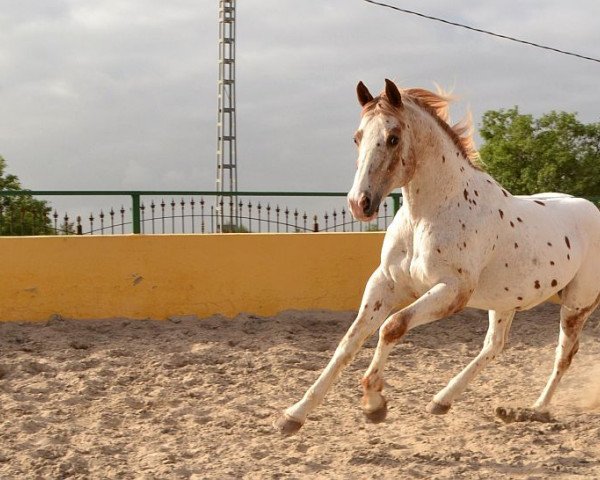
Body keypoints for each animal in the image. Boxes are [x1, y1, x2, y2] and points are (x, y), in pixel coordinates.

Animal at [276, 79, 600, 436]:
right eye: (357, 137)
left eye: (393, 137)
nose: (359, 204)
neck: (429, 215)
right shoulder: (385, 283)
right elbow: (350, 341)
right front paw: (294, 415)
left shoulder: (452, 291)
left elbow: (392, 327)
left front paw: (374, 404)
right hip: (504, 302)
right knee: (494, 346)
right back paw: (443, 401)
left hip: (577, 305)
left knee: (563, 355)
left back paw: (535, 410)